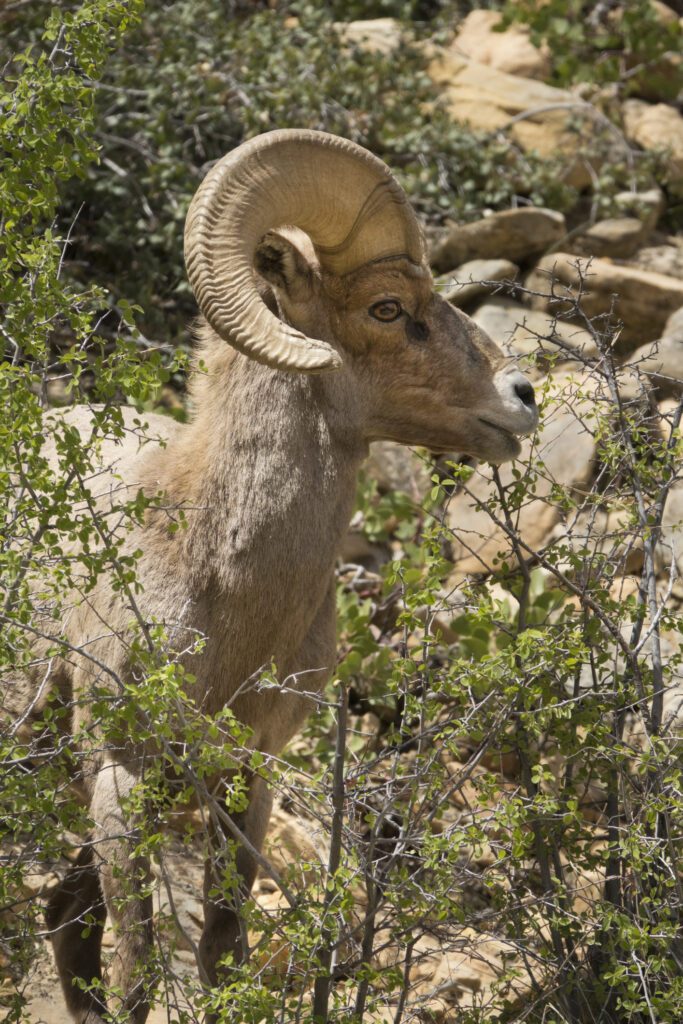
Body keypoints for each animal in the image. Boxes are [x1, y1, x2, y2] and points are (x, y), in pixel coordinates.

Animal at [10, 130, 536, 1024]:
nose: (522, 396)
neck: (228, 601)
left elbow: (222, 947)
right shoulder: (121, 776)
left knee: (65, 920)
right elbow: (139, 970)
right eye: (386, 308)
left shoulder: (247, 773)